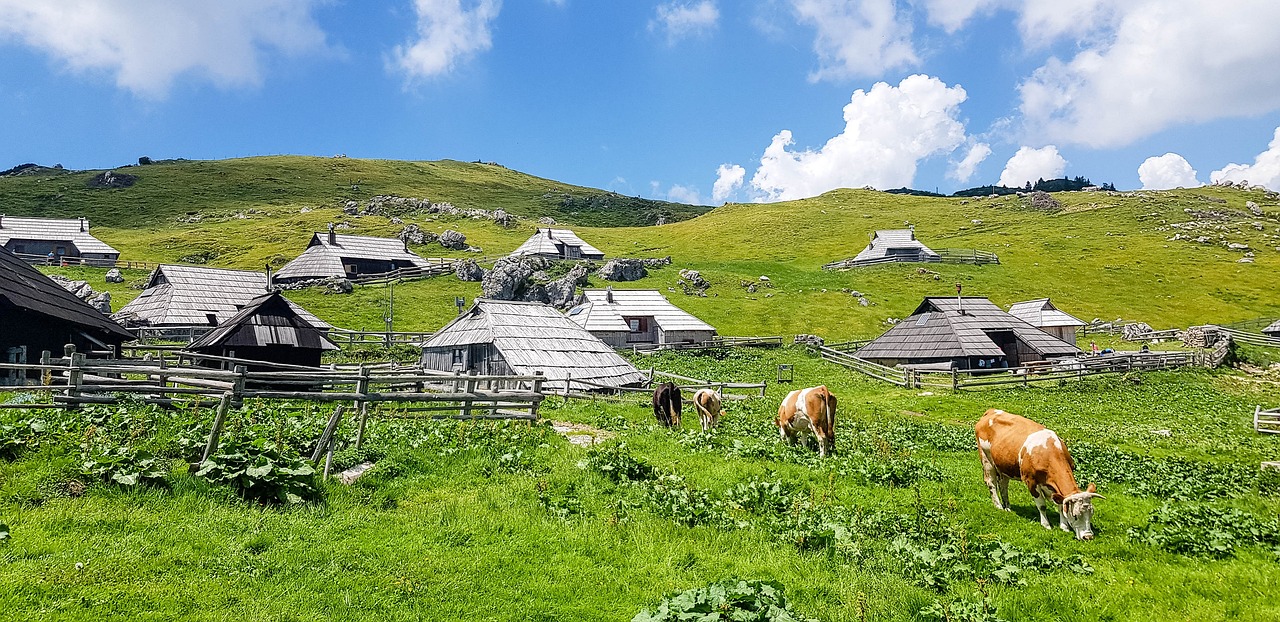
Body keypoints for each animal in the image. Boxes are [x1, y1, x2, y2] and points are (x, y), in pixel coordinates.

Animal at [972, 406, 1105, 540]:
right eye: (1075, 515)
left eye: (1091, 513)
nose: (1088, 536)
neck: (1048, 453)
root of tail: (991, 411)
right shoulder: (1031, 481)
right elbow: (1042, 505)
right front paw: (1046, 525)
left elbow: (1060, 506)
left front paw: (1064, 526)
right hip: (986, 458)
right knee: (991, 483)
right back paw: (998, 506)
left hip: (1003, 465)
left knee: (1003, 485)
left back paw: (1007, 507)